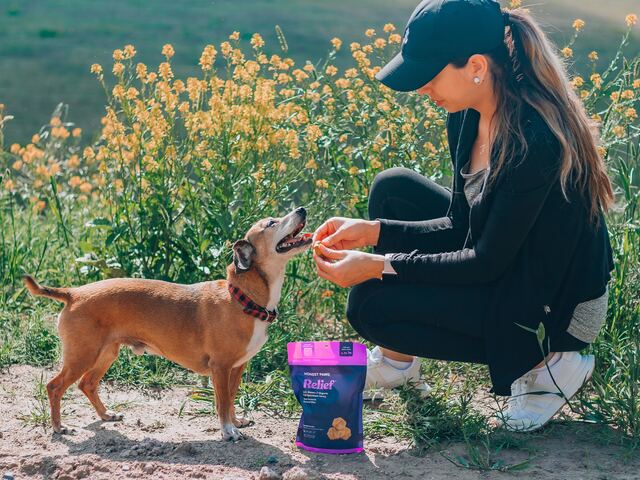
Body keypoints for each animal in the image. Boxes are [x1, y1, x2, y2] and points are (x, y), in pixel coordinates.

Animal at [23, 205, 314, 438]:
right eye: (271, 223)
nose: (302, 209)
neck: (242, 297)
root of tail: (73, 293)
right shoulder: (220, 368)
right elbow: (221, 402)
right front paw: (227, 431)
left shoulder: (237, 368)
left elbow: (231, 398)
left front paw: (234, 422)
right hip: (82, 356)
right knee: (55, 386)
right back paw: (59, 427)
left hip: (106, 353)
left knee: (87, 384)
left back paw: (106, 415)